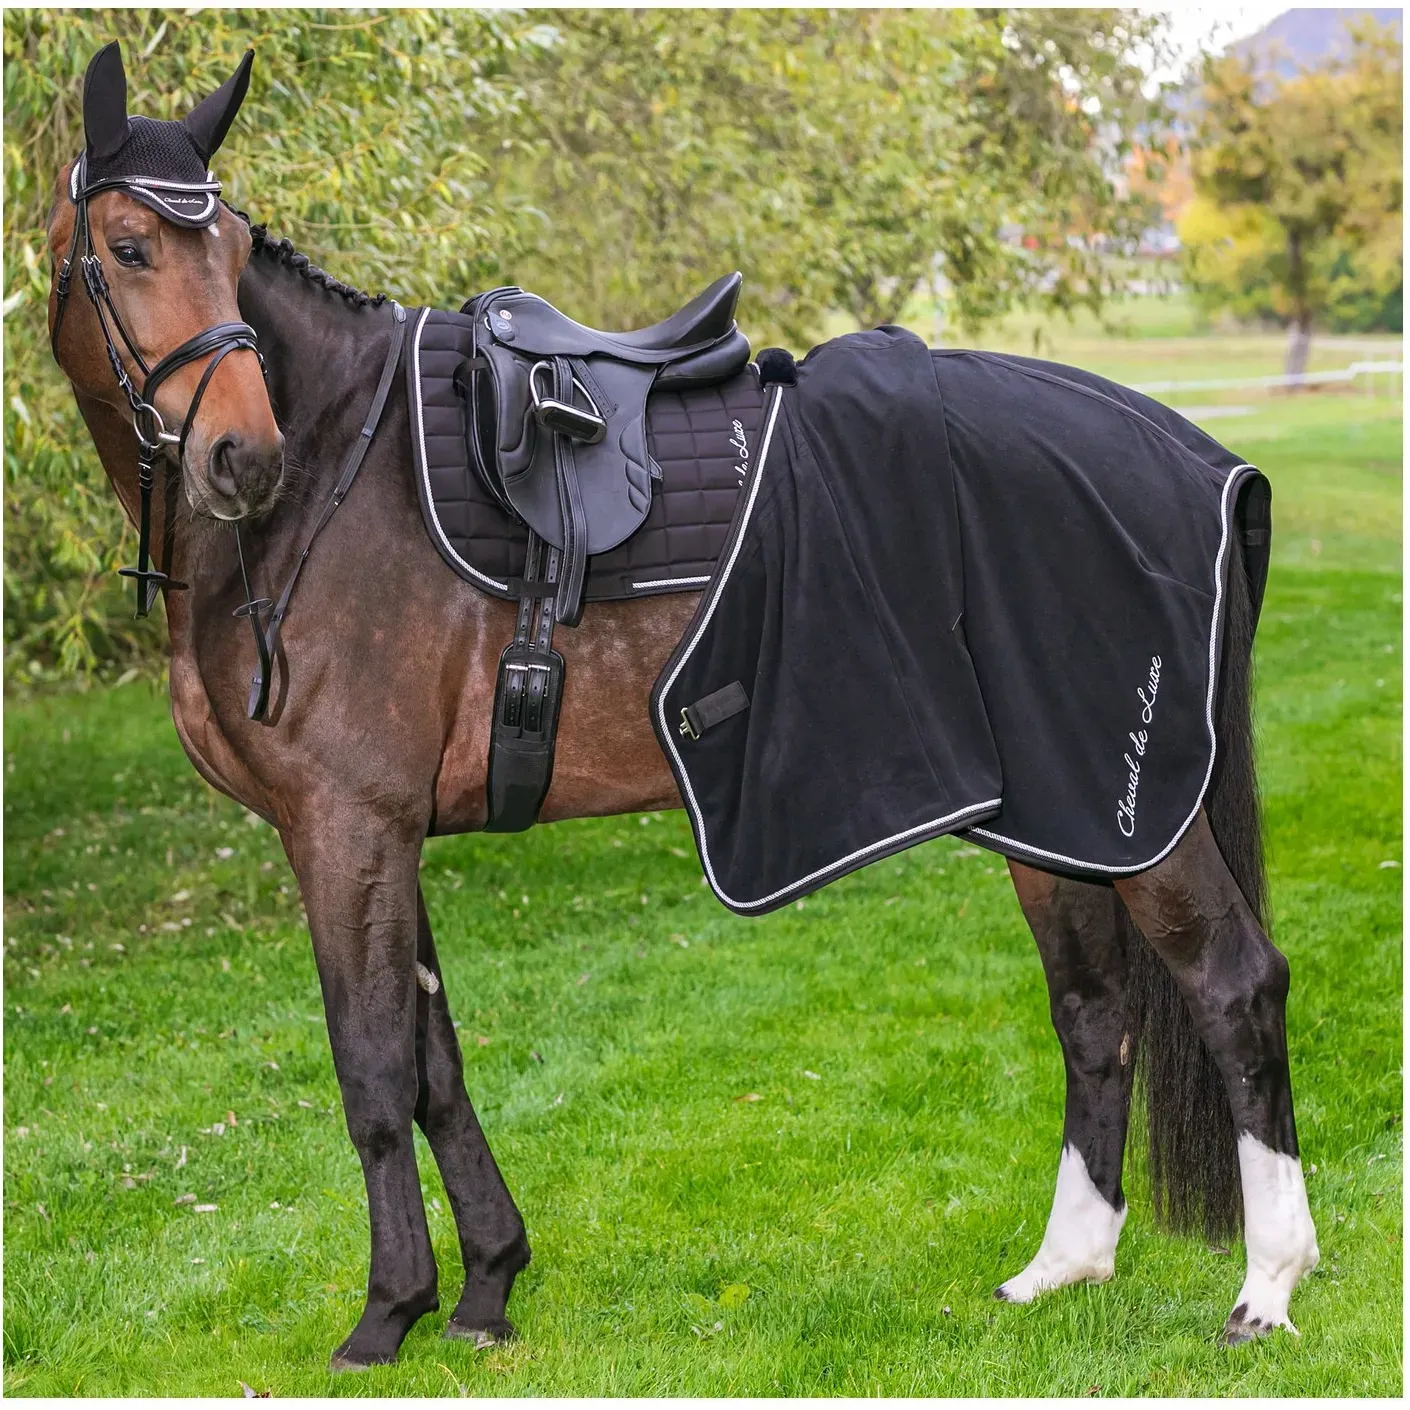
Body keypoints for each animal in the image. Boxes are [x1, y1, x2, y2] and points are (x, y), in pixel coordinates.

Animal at [44, 43, 1318, 1370]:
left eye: (231, 245)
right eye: (129, 245)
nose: (244, 457)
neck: (341, 469)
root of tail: (1197, 456)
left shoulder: (346, 827)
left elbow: (376, 1071)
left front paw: (386, 1314)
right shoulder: (385, 832)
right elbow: (437, 1064)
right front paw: (486, 1289)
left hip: (1134, 817)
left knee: (1236, 986)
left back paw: (1266, 1289)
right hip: (1054, 822)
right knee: (1092, 1012)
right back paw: (1060, 1270)